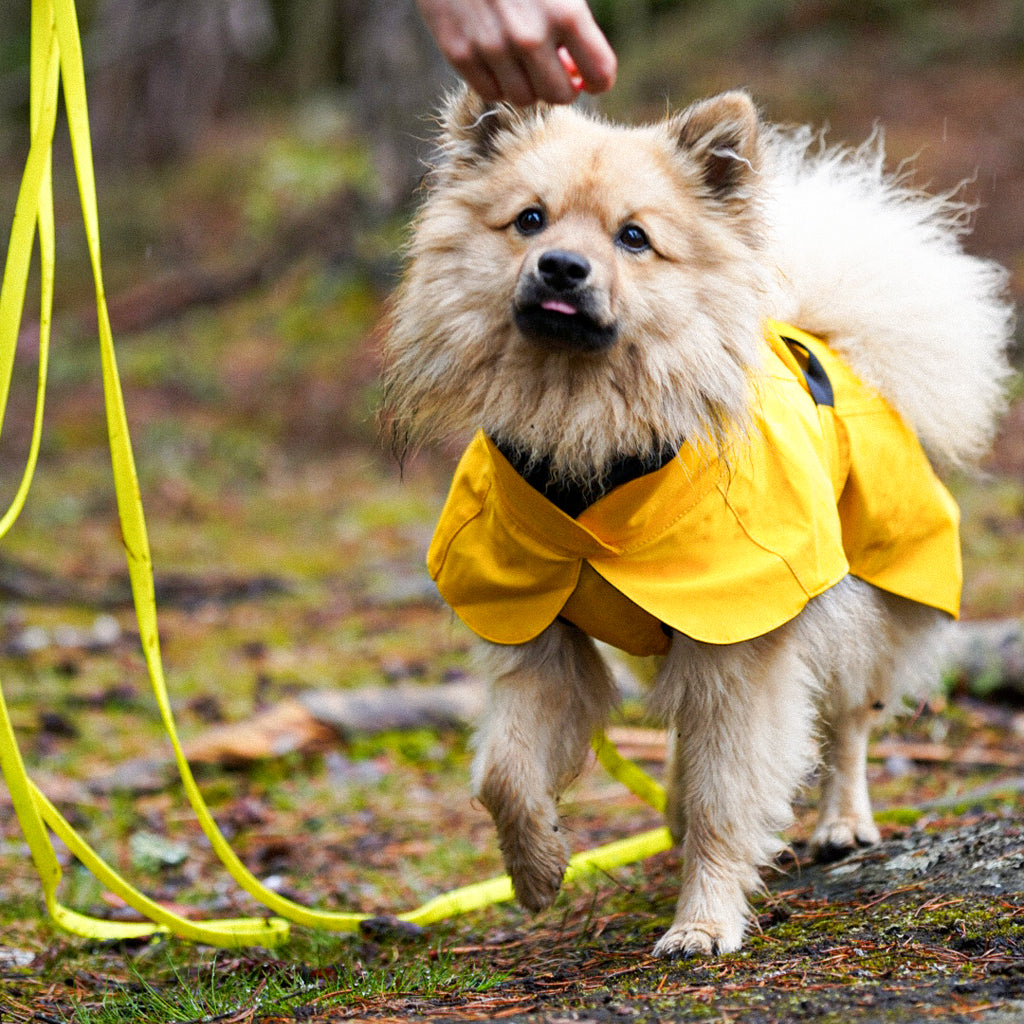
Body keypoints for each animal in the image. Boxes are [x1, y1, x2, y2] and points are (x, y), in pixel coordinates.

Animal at [380, 88, 1011, 958]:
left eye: (633, 237)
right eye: (530, 221)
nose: (562, 267)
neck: (590, 441)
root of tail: (830, 340)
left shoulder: (742, 647)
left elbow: (728, 799)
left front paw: (703, 922)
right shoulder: (543, 635)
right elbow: (503, 772)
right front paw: (537, 865)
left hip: (857, 604)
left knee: (849, 722)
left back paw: (842, 822)